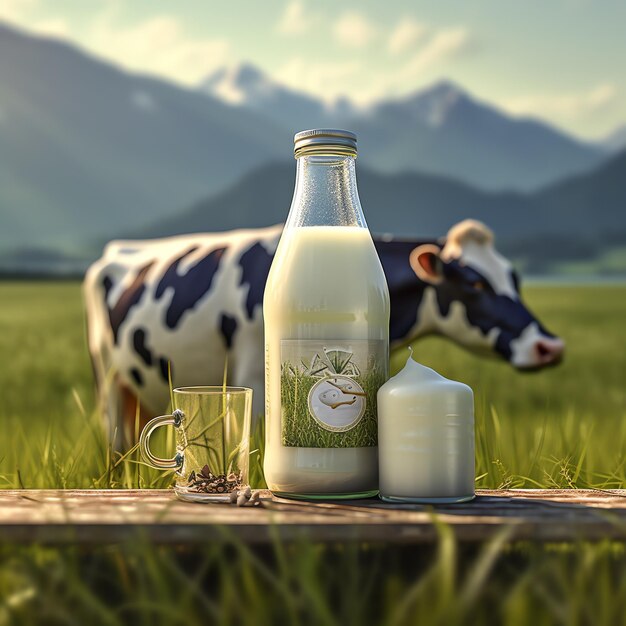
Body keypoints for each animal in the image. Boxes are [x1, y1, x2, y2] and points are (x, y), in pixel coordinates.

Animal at [84, 219, 560, 444]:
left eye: (516, 278)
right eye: (475, 283)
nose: (549, 346)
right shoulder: (253, 377)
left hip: (143, 384)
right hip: (107, 377)